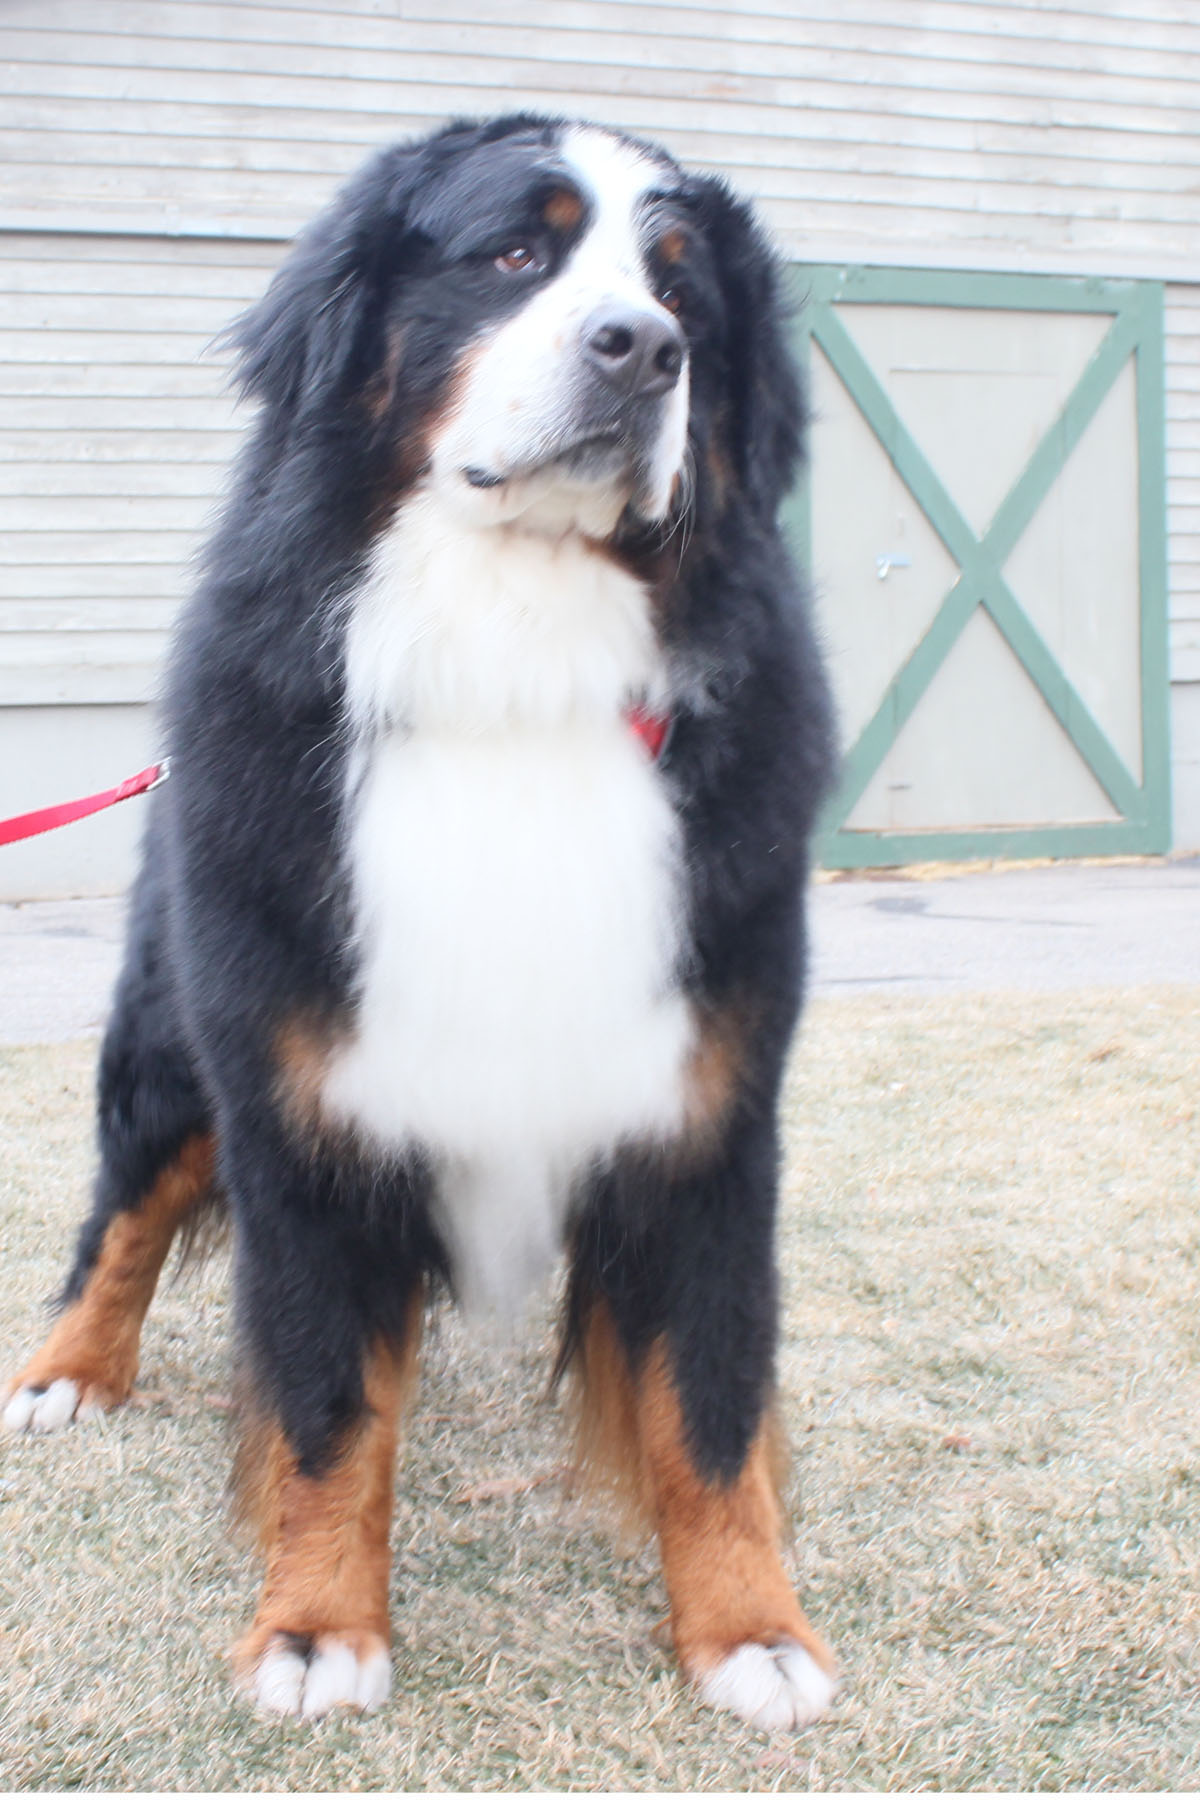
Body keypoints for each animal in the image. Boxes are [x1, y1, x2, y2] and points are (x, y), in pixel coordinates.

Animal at [4, 112, 841, 1728]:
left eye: (683, 293)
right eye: (515, 251)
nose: (643, 349)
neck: (517, 666)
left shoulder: (708, 1110)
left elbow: (709, 1397)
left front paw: (750, 1628)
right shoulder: (303, 1105)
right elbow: (328, 1402)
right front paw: (316, 1629)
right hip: (172, 1038)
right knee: (121, 1213)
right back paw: (68, 1371)